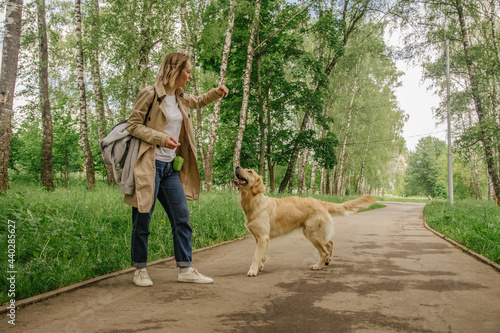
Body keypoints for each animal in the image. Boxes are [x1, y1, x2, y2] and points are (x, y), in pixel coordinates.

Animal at [233, 165, 376, 276]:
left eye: (250, 171)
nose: (237, 166)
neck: (253, 202)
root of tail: (321, 202)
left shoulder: (262, 237)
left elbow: (256, 256)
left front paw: (253, 270)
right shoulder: (260, 238)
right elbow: (262, 255)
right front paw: (260, 266)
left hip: (312, 233)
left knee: (324, 251)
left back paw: (318, 266)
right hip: (316, 233)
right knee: (330, 243)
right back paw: (327, 261)